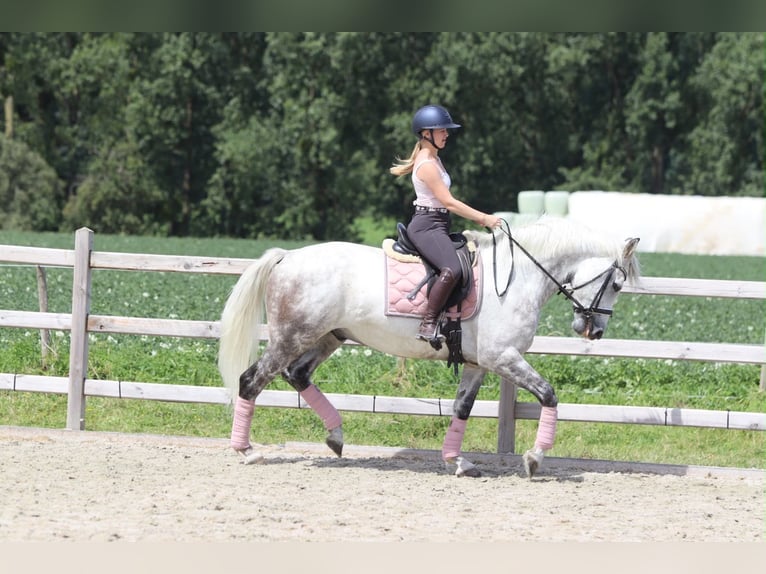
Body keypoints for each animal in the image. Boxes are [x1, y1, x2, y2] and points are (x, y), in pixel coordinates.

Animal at [217, 216, 641, 478]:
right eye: (617, 284)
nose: (594, 331)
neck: (518, 278)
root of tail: (287, 257)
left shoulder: (478, 363)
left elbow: (462, 408)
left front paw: (458, 462)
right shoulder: (503, 358)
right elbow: (549, 395)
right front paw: (534, 459)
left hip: (329, 336)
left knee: (297, 374)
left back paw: (335, 437)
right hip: (292, 336)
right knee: (251, 381)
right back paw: (247, 451)